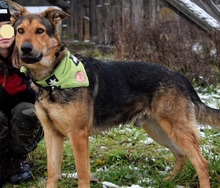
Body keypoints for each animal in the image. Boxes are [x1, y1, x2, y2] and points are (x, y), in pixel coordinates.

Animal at [6, 0, 220, 187]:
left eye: (40, 31)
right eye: (20, 31)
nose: (25, 49)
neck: (53, 79)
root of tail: (180, 76)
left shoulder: (78, 135)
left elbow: (83, 174)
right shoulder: (53, 135)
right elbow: (53, 172)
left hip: (176, 128)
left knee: (201, 162)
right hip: (158, 130)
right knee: (181, 154)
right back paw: (169, 181)